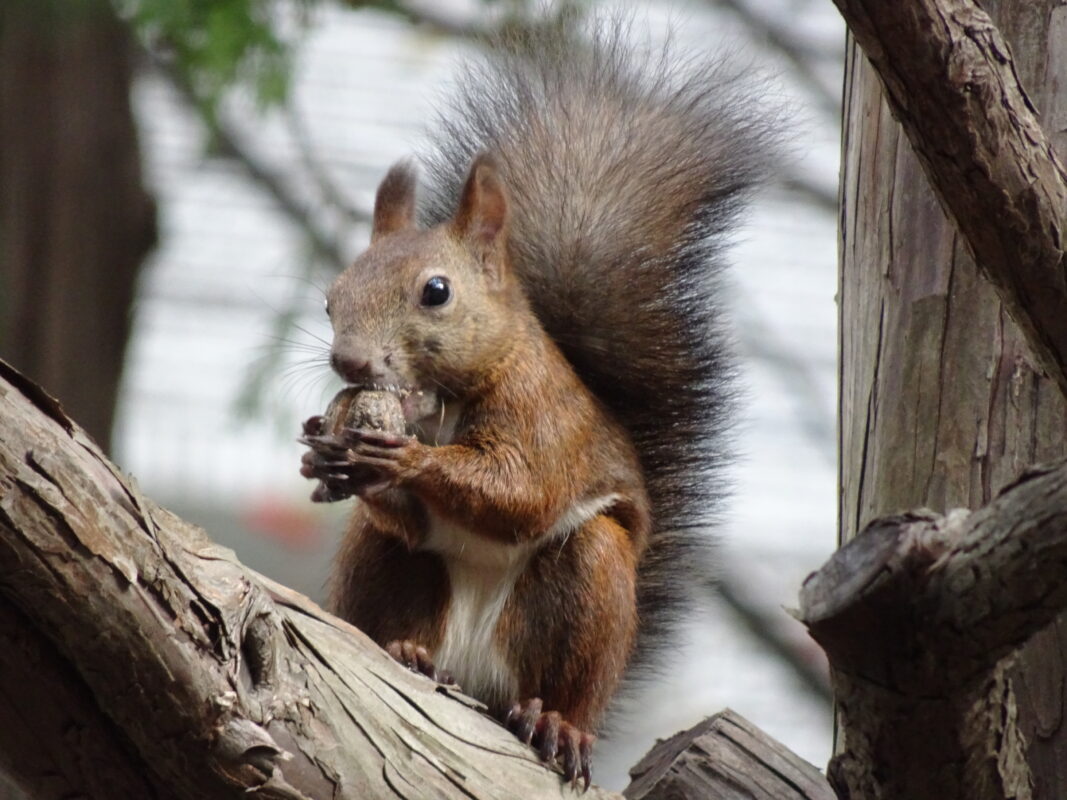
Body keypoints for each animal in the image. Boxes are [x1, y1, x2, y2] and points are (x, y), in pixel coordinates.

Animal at [300, 17, 776, 789]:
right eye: (331, 298)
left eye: (436, 291)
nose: (349, 362)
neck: (442, 403)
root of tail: (474, 675)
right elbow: (409, 511)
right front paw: (322, 450)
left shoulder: (542, 417)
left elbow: (519, 491)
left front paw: (404, 459)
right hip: (384, 564)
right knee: (393, 572)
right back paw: (405, 652)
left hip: (588, 586)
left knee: (562, 674)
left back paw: (557, 723)